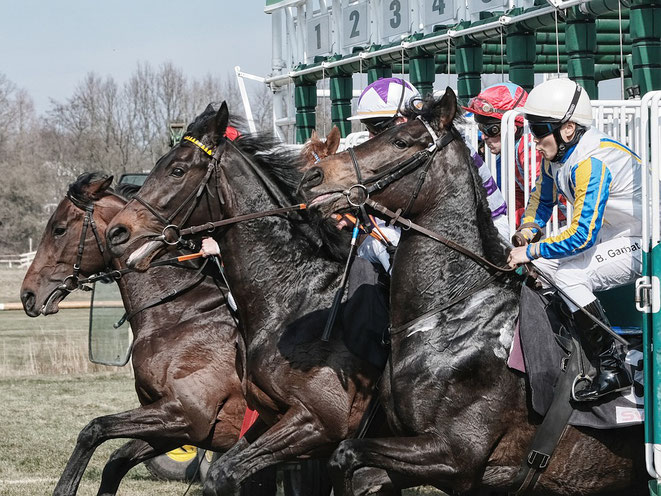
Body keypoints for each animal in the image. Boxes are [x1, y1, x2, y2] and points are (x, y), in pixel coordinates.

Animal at [21, 172, 250, 494]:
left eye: (59, 229)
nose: (27, 295)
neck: (181, 313)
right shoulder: (176, 428)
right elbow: (115, 461)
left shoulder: (187, 415)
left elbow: (93, 429)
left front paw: (64, 488)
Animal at [298, 90, 644, 496]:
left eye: (401, 141)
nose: (313, 176)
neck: (449, 317)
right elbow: (355, 467)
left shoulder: (455, 456)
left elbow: (345, 452)